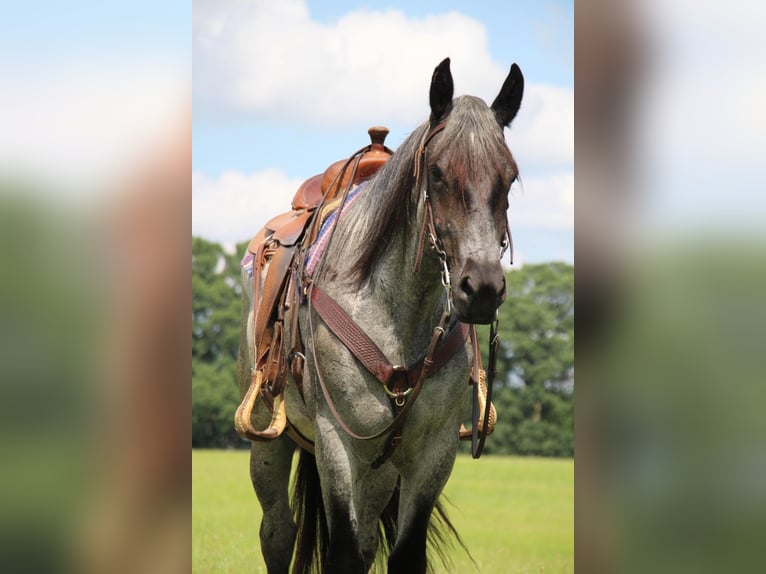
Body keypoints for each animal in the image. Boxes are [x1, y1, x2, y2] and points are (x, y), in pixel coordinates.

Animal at [237, 59, 524, 574]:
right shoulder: (338, 445)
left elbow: (403, 553)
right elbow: (344, 553)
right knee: (277, 534)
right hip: (271, 440)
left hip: (381, 469)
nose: (482, 288)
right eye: (437, 172)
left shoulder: (432, 454)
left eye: (508, 177)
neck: (394, 316)